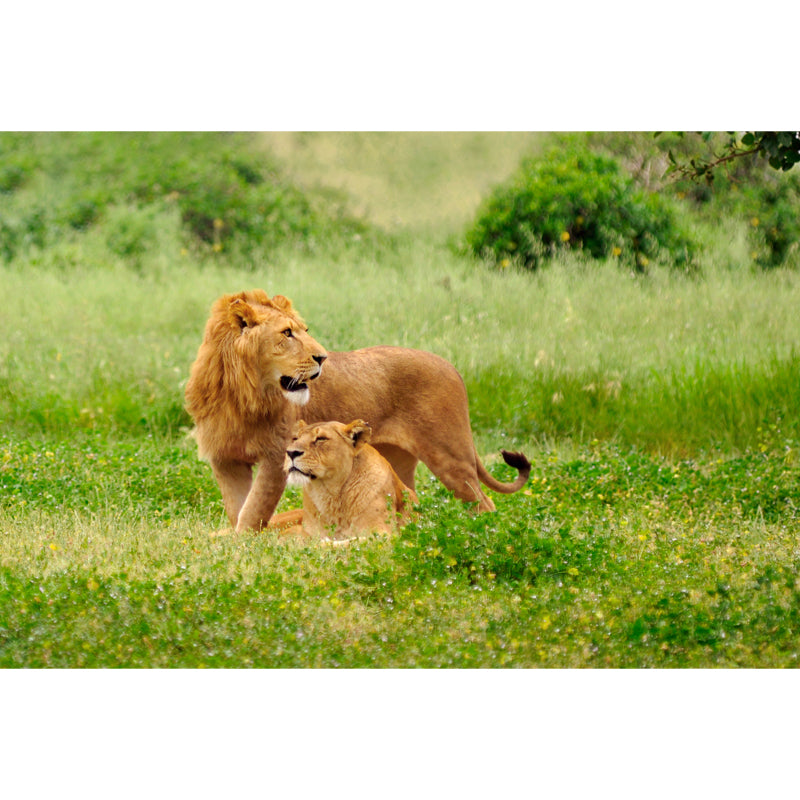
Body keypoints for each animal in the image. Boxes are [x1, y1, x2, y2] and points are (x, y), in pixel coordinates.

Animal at [270, 418, 417, 544]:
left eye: (321, 439)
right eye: (295, 438)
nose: (291, 453)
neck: (330, 493)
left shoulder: (382, 534)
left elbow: (350, 541)